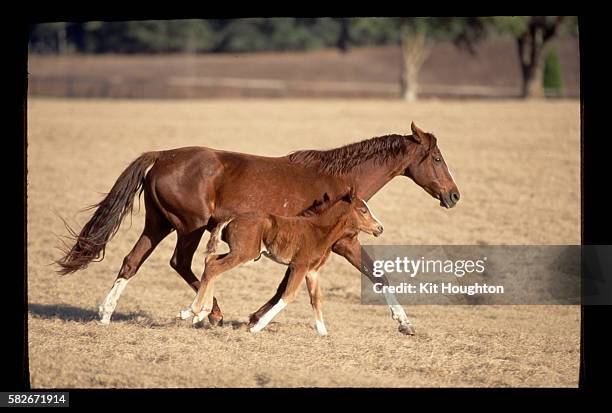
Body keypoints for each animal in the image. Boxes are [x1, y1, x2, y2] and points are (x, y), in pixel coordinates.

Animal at [177, 188, 382, 334]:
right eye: (363, 211)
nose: (379, 228)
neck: (318, 230)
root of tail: (233, 217)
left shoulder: (312, 271)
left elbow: (316, 299)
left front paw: (323, 332)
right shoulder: (299, 266)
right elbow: (288, 295)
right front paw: (256, 327)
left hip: (237, 252)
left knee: (210, 260)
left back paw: (200, 313)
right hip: (243, 253)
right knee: (214, 267)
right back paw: (190, 311)